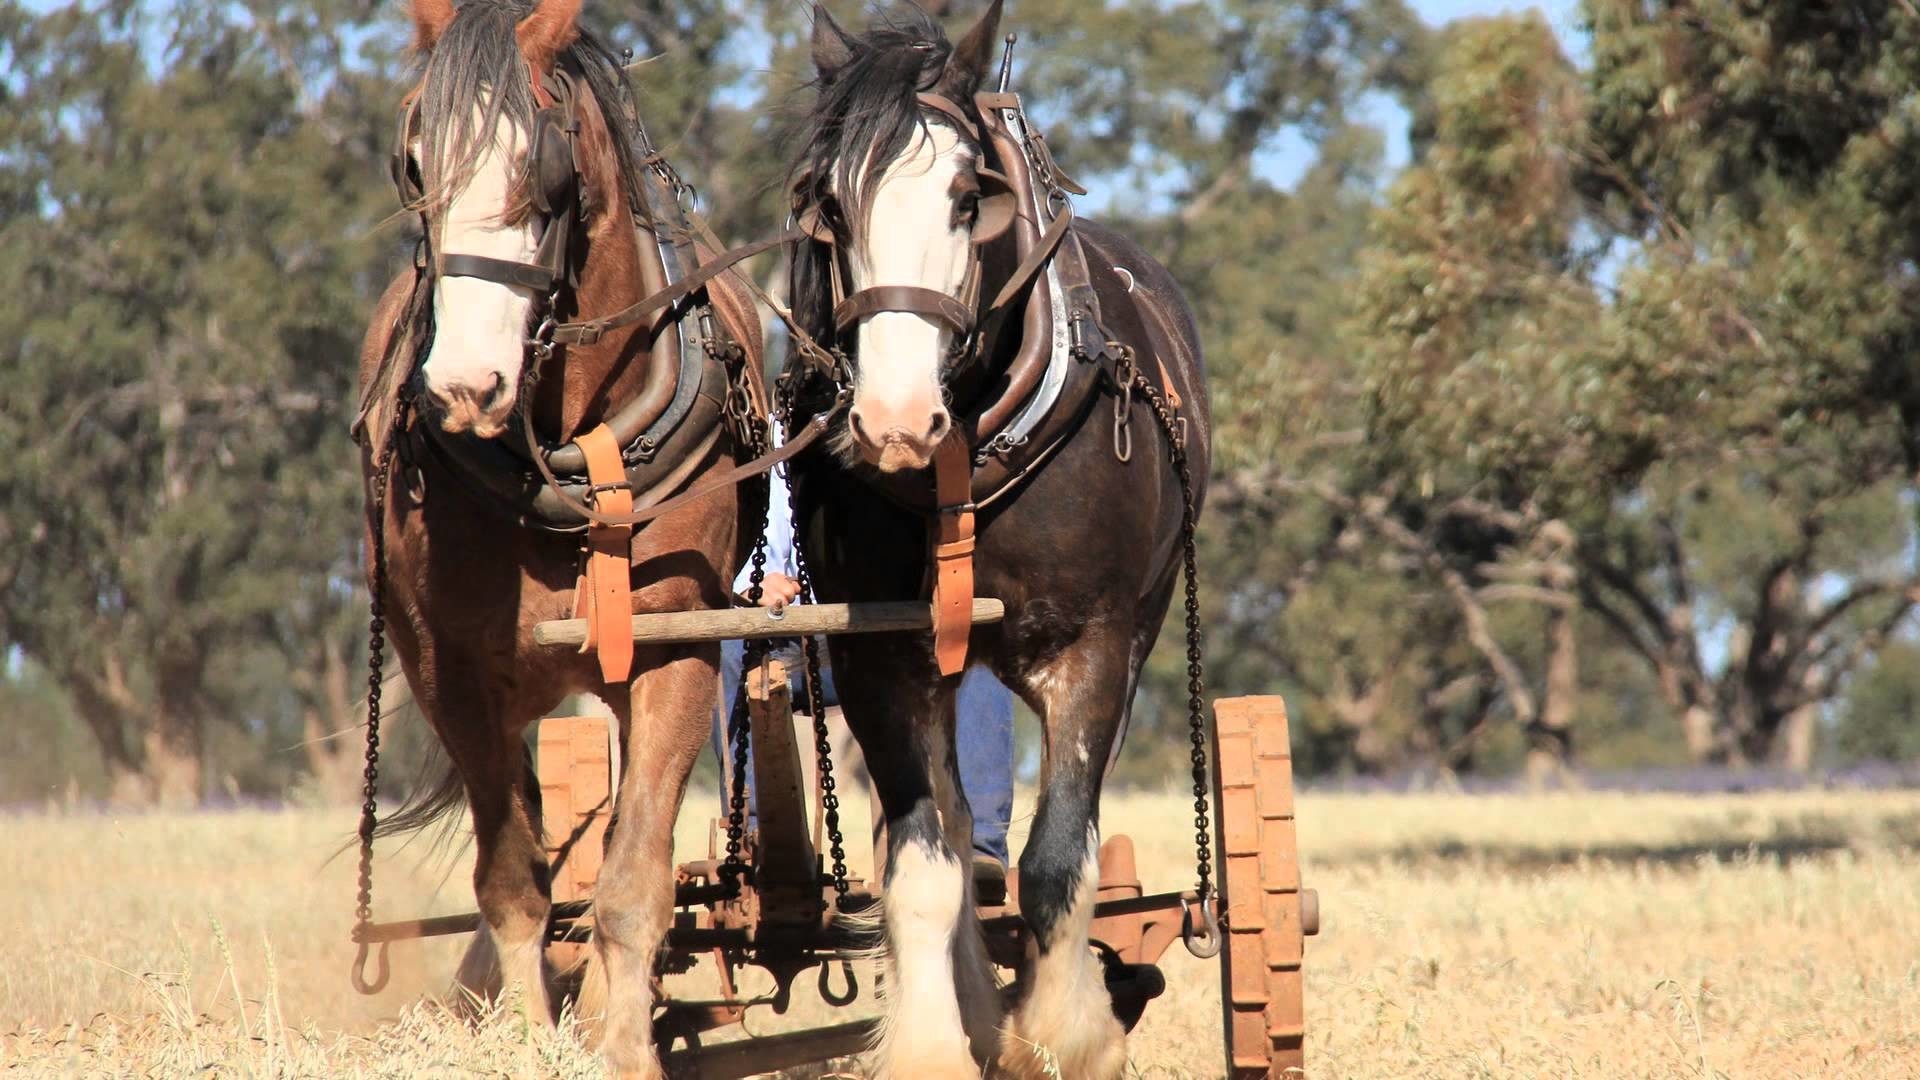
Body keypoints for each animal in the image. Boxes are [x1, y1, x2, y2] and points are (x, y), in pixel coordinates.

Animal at [354, 0, 763, 1074]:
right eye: (413, 159)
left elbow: (632, 876)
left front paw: (624, 1045)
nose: (466, 387)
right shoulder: (453, 671)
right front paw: (532, 1037)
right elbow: (513, 879)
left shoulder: (674, 650)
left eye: (544, 166)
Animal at [782, 3, 1213, 1077]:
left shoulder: (1094, 649)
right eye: (827, 206)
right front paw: (938, 1044)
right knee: (954, 825)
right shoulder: (884, 659)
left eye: (967, 197)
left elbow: (1058, 858)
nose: (894, 421)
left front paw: (1062, 1038)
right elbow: (924, 863)